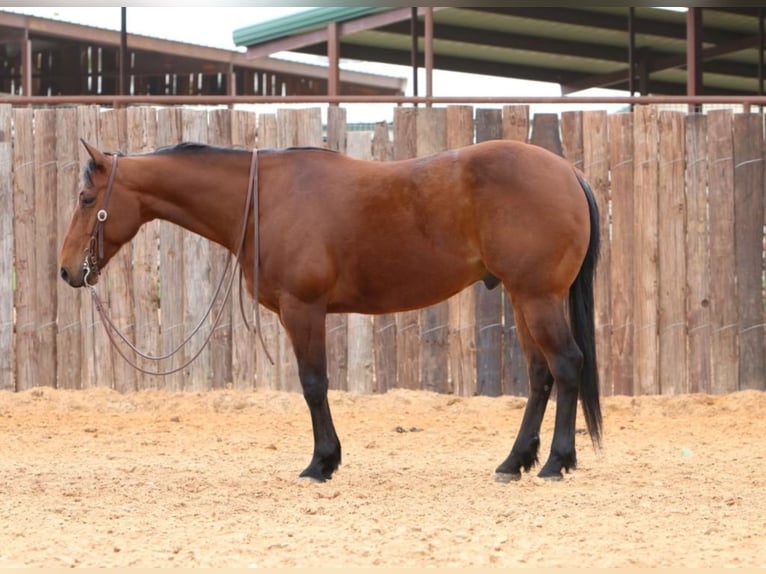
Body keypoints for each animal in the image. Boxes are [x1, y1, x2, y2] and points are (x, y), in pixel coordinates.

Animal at [60, 138, 604, 482]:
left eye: (87, 198)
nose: (67, 270)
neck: (263, 199)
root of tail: (569, 172)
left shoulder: (303, 309)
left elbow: (314, 385)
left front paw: (322, 463)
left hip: (536, 297)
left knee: (566, 365)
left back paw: (556, 462)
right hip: (523, 297)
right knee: (540, 375)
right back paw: (515, 463)